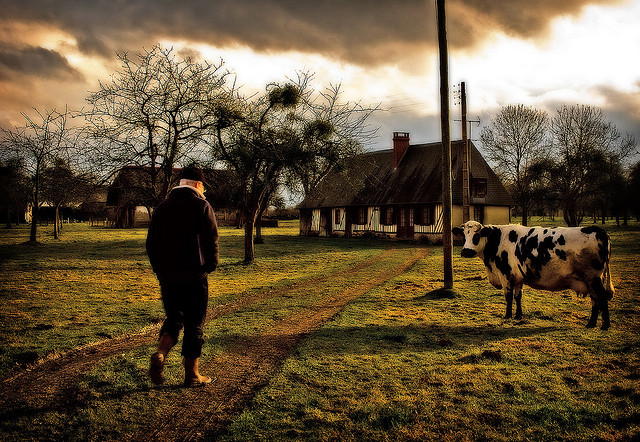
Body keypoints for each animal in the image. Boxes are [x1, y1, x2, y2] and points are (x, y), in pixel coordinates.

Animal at [450, 220, 616, 328]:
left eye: (476, 236)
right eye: (463, 236)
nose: (466, 251)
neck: (497, 240)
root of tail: (600, 231)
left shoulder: (506, 275)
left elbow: (508, 297)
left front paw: (507, 316)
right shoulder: (517, 277)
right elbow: (518, 296)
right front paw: (518, 316)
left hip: (593, 278)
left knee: (600, 297)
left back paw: (605, 325)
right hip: (591, 280)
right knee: (595, 299)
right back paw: (591, 323)